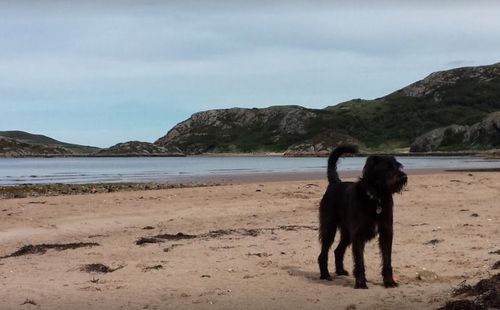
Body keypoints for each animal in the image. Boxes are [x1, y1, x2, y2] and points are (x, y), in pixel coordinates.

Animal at [318, 145, 408, 288]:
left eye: (398, 166)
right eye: (387, 167)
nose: (404, 176)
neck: (376, 199)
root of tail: (335, 183)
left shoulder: (386, 233)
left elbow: (387, 259)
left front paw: (389, 281)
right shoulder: (358, 235)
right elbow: (360, 261)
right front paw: (360, 283)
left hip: (347, 233)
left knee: (338, 250)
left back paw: (340, 271)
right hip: (329, 228)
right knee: (323, 254)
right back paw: (325, 275)